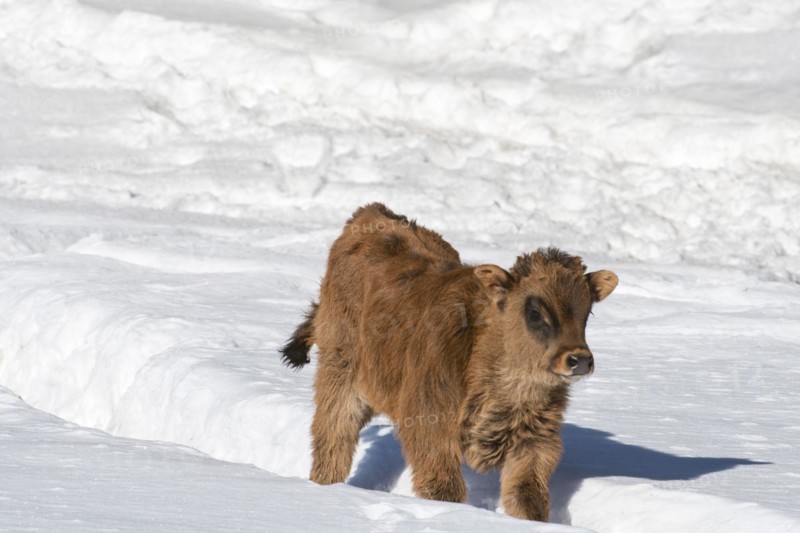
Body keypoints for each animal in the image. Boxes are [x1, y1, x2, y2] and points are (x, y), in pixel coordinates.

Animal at [280, 203, 618, 522]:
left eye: (586, 311)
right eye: (535, 311)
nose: (579, 360)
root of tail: (371, 213)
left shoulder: (534, 442)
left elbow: (529, 498)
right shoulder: (431, 429)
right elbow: (445, 490)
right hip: (340, 376)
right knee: (333, 436)